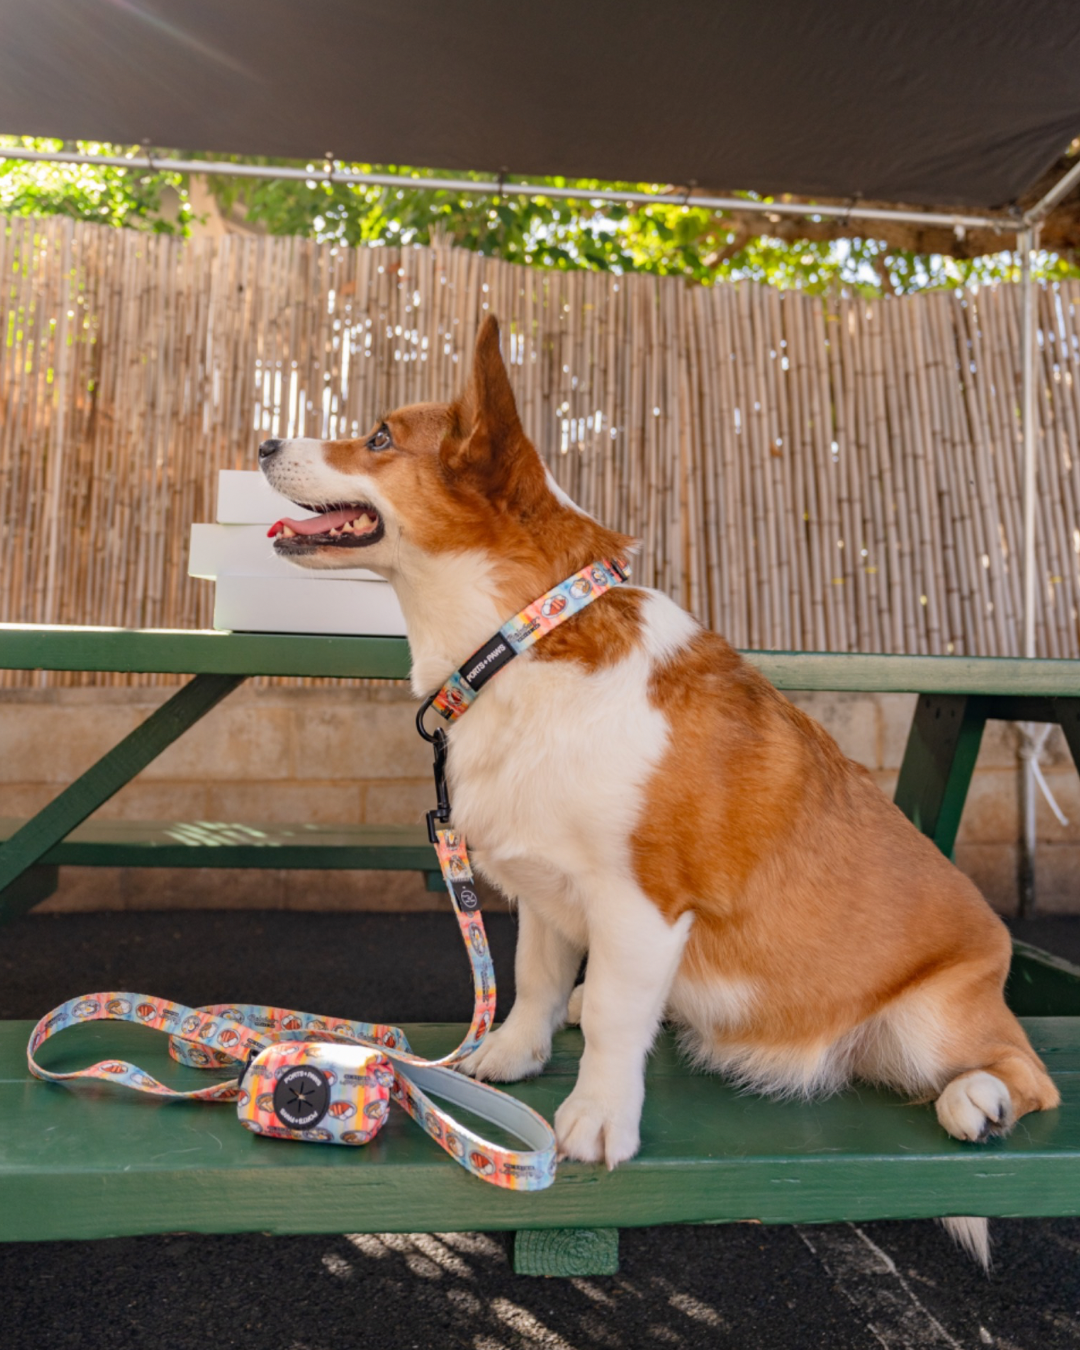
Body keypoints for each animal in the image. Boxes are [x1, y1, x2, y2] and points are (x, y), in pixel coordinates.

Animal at [259, 315, 1053, 1263]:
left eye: (379, 438)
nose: (263, 441)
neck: (517, 639)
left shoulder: (639, 905)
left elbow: (611, 1017)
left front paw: (597, 1120)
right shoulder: (547, 892)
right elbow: (532, 979)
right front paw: (512, 1056)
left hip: (937, 1022)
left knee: (1029, 1075)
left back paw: (980, 1100)